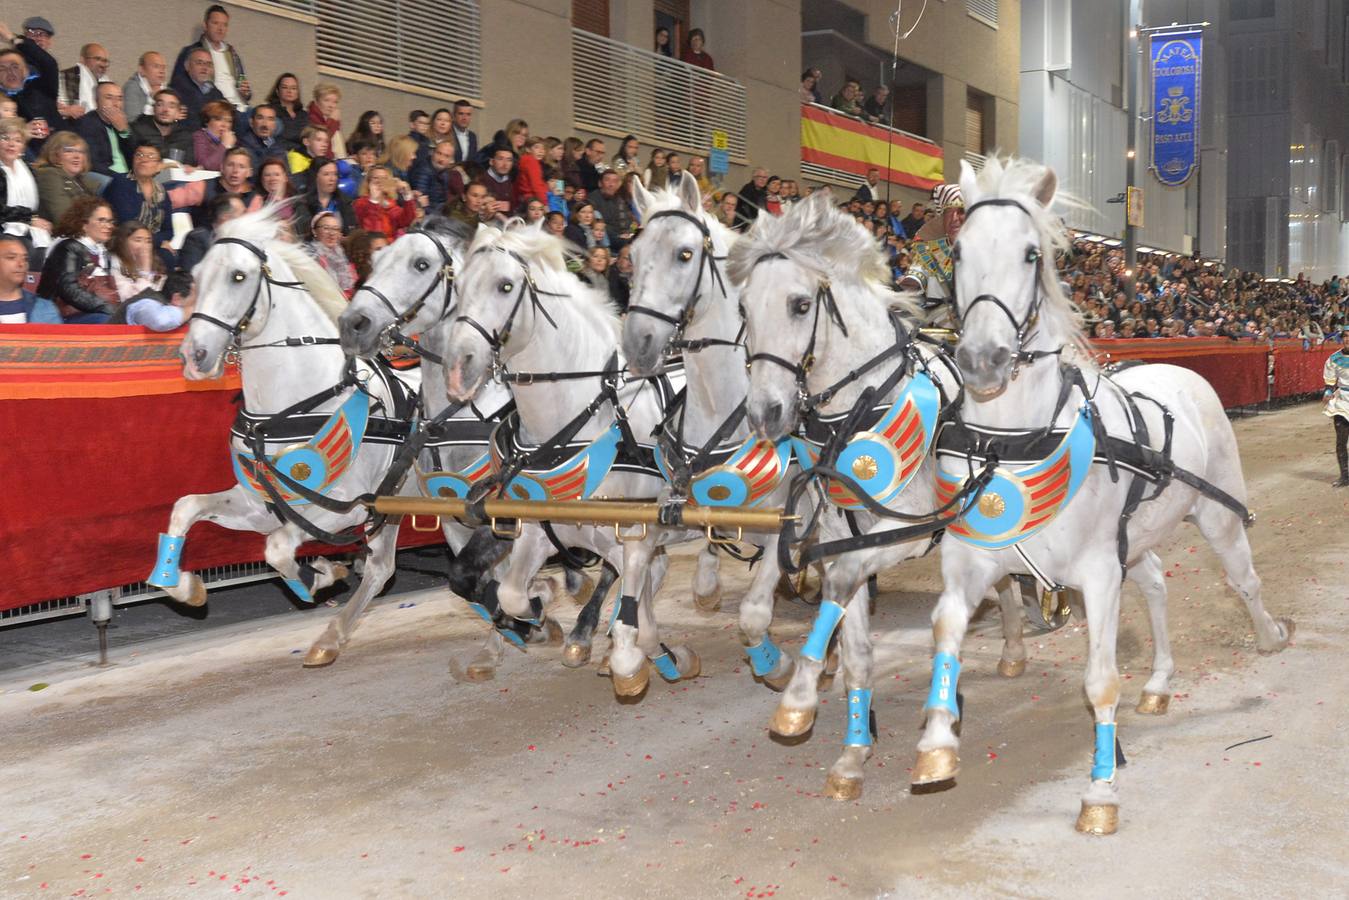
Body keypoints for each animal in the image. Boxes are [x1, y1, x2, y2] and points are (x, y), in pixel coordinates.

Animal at [151, 207, 404, 666]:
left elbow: (277, 549)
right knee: (381, 569)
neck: (295, 406)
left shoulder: (343, 507)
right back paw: (329, 640)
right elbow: (186, 506)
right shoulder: (261, 506)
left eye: (238, 276)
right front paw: (184, 586)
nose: (194, 356)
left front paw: (318, 574)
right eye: (196, 276)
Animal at [437, 223, 701, 696]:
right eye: (459, 286)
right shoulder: (535, 530)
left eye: (506, 286)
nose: (458, 367)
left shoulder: (633, 534)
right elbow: (511, 594)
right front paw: (539, 616)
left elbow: (638, 610)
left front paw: (645, 661)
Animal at [620, 178, 798, 690]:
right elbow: (637, 586)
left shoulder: (787, 521)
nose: (637, 342)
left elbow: (754, 615)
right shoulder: (670, 513)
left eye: (685, 254)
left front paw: (775, 664)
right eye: (632, 256)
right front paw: (655, 659)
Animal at [733, 191, 1025, 804]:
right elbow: (855, 654)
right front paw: (851, 754)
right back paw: (1012, 645)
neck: (862, 407)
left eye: (800, 304)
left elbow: (842, 589)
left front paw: (799, 698)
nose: (765, 413)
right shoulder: (832, 533)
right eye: (744, 308)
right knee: (1004, 576)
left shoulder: (902, 534)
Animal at [922, 156, 1289, 836]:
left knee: (1243, 581)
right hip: (1134, 543)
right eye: (957, 250)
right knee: (1158, 586)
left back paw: (1270, 634)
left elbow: (1100, 682)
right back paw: (1161, 681)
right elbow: (946, 631)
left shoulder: (1096, 572)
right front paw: (936, 743)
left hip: (1219, 516)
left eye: (1031, 253)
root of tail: (1182, 370)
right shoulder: (973, 561)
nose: (982, 360)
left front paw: (1100, 793)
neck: (1015, 440)